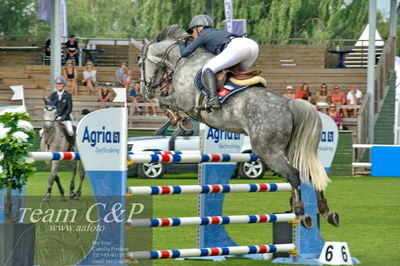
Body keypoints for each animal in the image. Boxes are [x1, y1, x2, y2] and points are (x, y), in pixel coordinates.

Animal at [136, 25, 340, 229]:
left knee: (295, 175)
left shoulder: (183, 101)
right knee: (310, 173)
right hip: (290, 149)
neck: (182, 60)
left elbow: (163, 101)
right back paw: (327, 212)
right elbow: (164, 102)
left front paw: (180, 121)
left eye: (139, 62)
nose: (144, 92)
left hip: (267, 151)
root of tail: (289, 104)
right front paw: (180, 121)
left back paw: (301, 213)